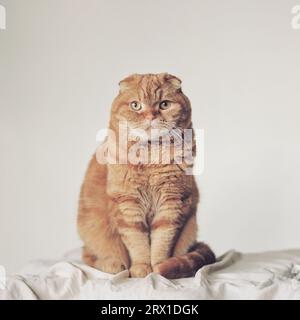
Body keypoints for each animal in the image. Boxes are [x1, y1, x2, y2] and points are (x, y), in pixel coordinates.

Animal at [76, 72, 214, 278]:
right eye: (135, 105)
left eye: (164, 104)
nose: (150, 116)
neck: (150, 158)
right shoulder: (128, 204)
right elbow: (137, 242)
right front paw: (141, 268)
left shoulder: (171, 203)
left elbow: (161, 241)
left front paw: (158, 267)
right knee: (89, 255)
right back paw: (113, 265)